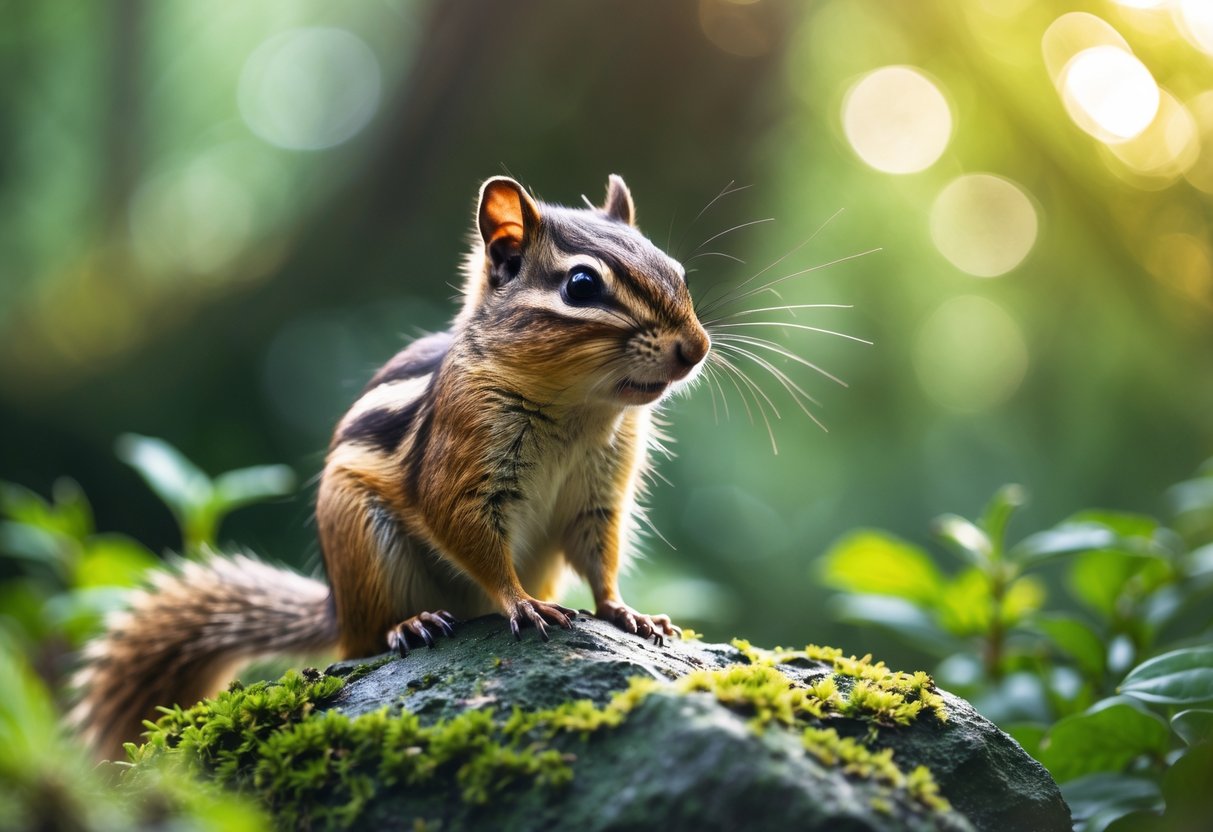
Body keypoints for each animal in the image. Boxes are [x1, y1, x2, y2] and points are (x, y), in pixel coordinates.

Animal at [71, 174, 711, 758]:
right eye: (581, 285)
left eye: (678, 272)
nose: (697, 348)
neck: (579, 410)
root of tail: (338, 608)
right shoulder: (461, 466)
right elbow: (468, 532)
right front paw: (521, 602)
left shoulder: (599, 494)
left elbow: (600, 556)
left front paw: (627, 612)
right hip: (360, 535)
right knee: (365, 644)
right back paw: (410, 625)